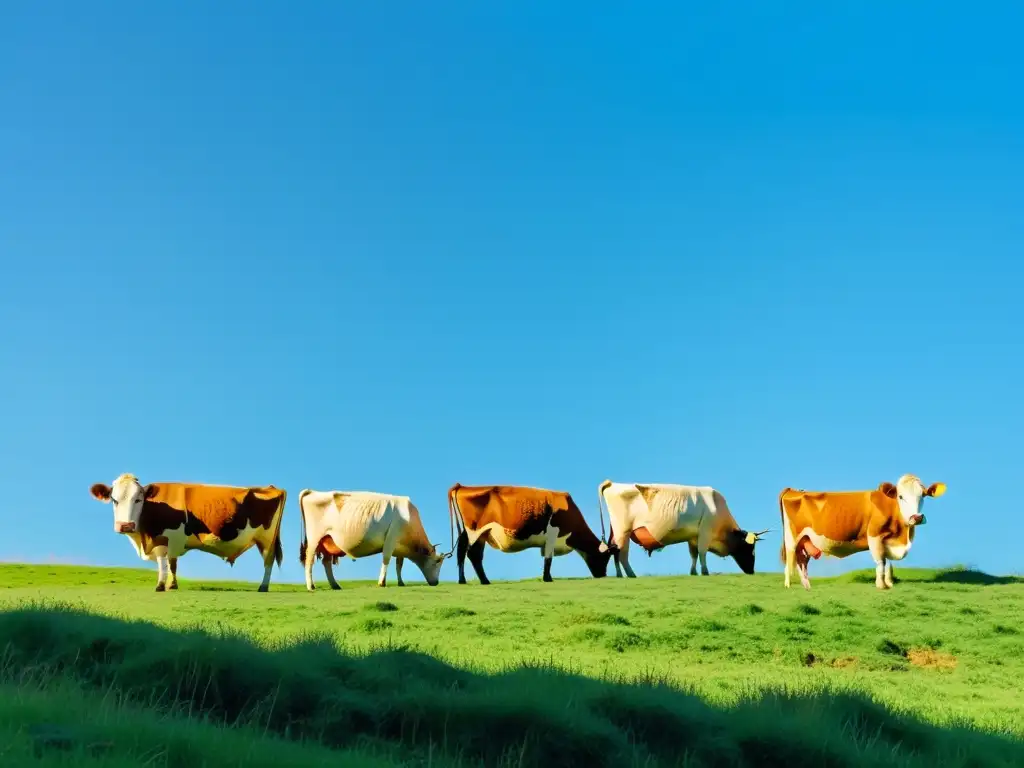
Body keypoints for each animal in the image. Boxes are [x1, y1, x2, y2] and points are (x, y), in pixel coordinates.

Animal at [89, 475, 288, 593]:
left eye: (138, 499)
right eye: (114, 500)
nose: (125, 525)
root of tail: (272, 487)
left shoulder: (168, 538)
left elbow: (167, 562)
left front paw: (164, 585)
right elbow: (168, 563)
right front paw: (168, 584)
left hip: (266, 538)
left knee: (269, 560)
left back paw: (263, 586)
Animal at [296, 489, 448, 593]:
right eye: (437, 562)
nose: (436, 582)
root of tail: (312, 492)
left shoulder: (399, 548)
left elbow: (399, 565)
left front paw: (401, 583)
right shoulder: (391, 539)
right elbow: (386, 560)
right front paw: (382, 582)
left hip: (328, 540)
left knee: (326, 562)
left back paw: (335, 585)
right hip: (314, 539)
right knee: (309, 561)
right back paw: (311, 586)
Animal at [444, 483, 610, 585]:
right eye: (605, 557)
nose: (603, 575)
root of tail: (462, 486)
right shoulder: (552, 534)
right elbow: (548, 559)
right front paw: (548, 579)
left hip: (472, 533)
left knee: (462, 553)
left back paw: (463, 580)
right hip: (476, 532)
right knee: (472, 554)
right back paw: (485, 581)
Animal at [593, 479, 770, 581]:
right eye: (750, 548)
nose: (752, 571)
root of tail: (612, 484)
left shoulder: (693, 537)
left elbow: (694, 554)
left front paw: (693, 572)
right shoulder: (705, 532)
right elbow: (702, 552)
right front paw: (705, 572)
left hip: (615, 531)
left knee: (614, 551)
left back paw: (619, 575)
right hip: (623, 531)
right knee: (622, 553)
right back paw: (631, 575)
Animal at [778, 473, 946, 593]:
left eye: (923, 495)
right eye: (901, 496)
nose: (916, 517)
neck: (902, 535)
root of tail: (792, 490)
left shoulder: (888, 541)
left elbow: (889, 563)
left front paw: (889, 583)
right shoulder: (874, 535)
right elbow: (881, 561)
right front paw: (881, 585)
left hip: (806, 540)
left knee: (802, 561)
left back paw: (807, 586)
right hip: (792, 538)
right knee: (790, 559)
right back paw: (788, 585)